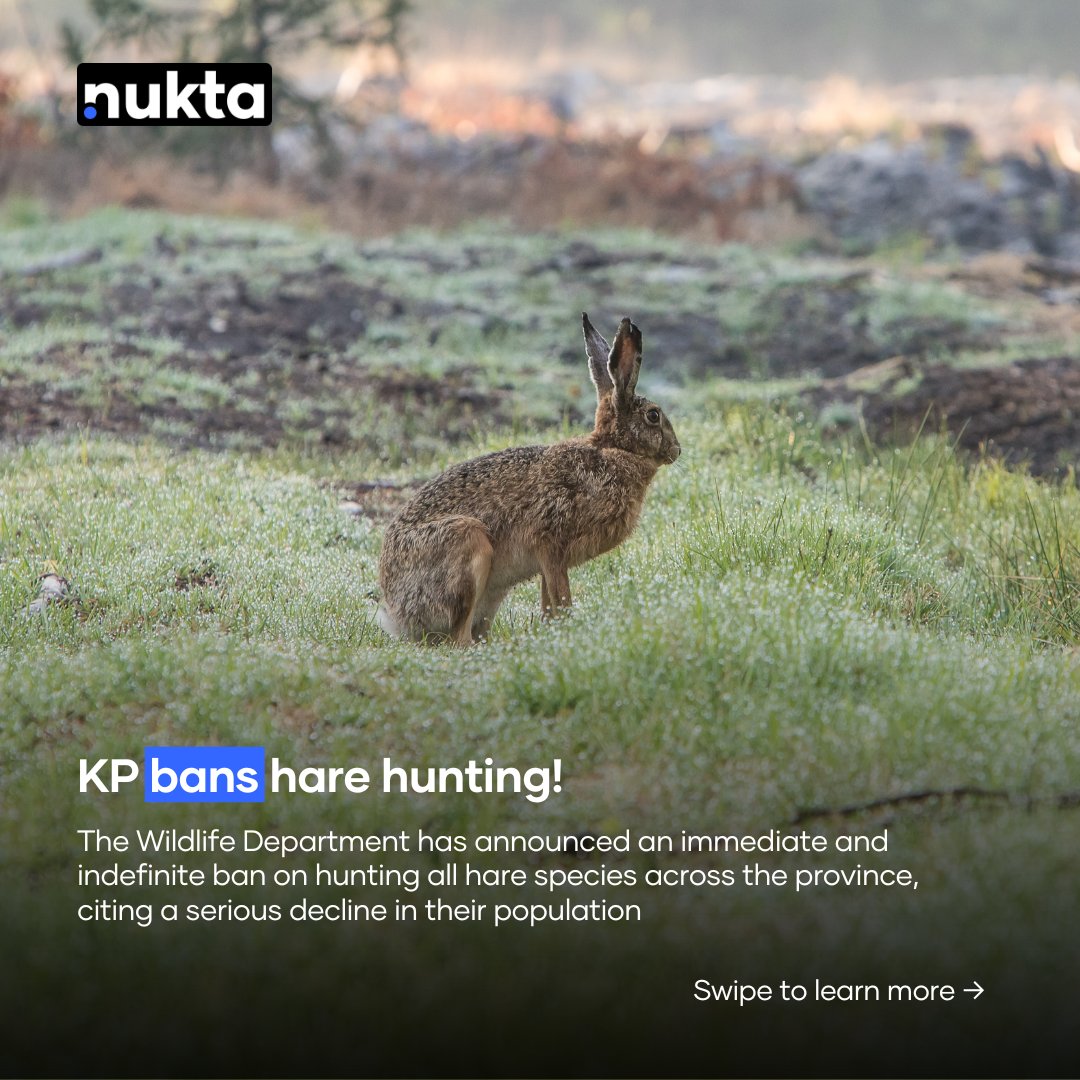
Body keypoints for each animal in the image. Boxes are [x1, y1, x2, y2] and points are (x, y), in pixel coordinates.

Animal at [376, 313, 680, 645]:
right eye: (653, 416)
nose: (677, 450)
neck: (612, 450)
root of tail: (398, 616)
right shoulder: (550, 542)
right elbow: (561, 596)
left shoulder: (549, 560)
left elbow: (549, 599)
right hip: (467, 542)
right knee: (457, 639)